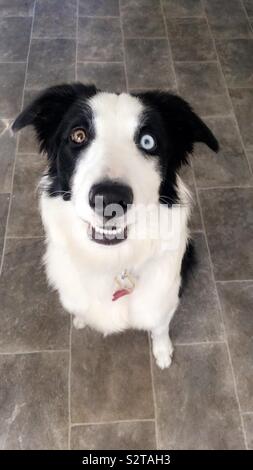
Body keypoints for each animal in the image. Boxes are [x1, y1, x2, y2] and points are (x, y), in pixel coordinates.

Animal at [11, 83, 218, 368]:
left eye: (148, 141)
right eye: (78, 135)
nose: (109, 199)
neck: (110, 261)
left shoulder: (163, 301)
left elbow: (160, 327)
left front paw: (163, 352)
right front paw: (81, 318)